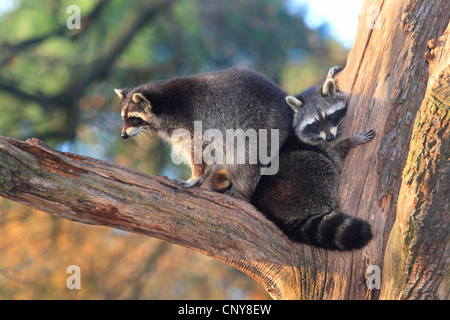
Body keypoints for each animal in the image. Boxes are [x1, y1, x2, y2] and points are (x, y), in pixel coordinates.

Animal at [114, 67, 294, 200]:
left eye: (134, 118)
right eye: (124, 118)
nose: (123, 136)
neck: (163, 104)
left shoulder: (195, 124)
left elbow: (199, 151)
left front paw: (195, 177)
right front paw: (200, 177)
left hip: (263, 130)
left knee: (247, 161)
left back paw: (244, 191)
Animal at [251, 76, 374, 251]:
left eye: (330, 117)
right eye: (315, 124)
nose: (329, 137)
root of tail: (269, 210)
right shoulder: (321, 146)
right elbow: (336, 152)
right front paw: (353, 140)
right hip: (302, 175)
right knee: (322, 167)